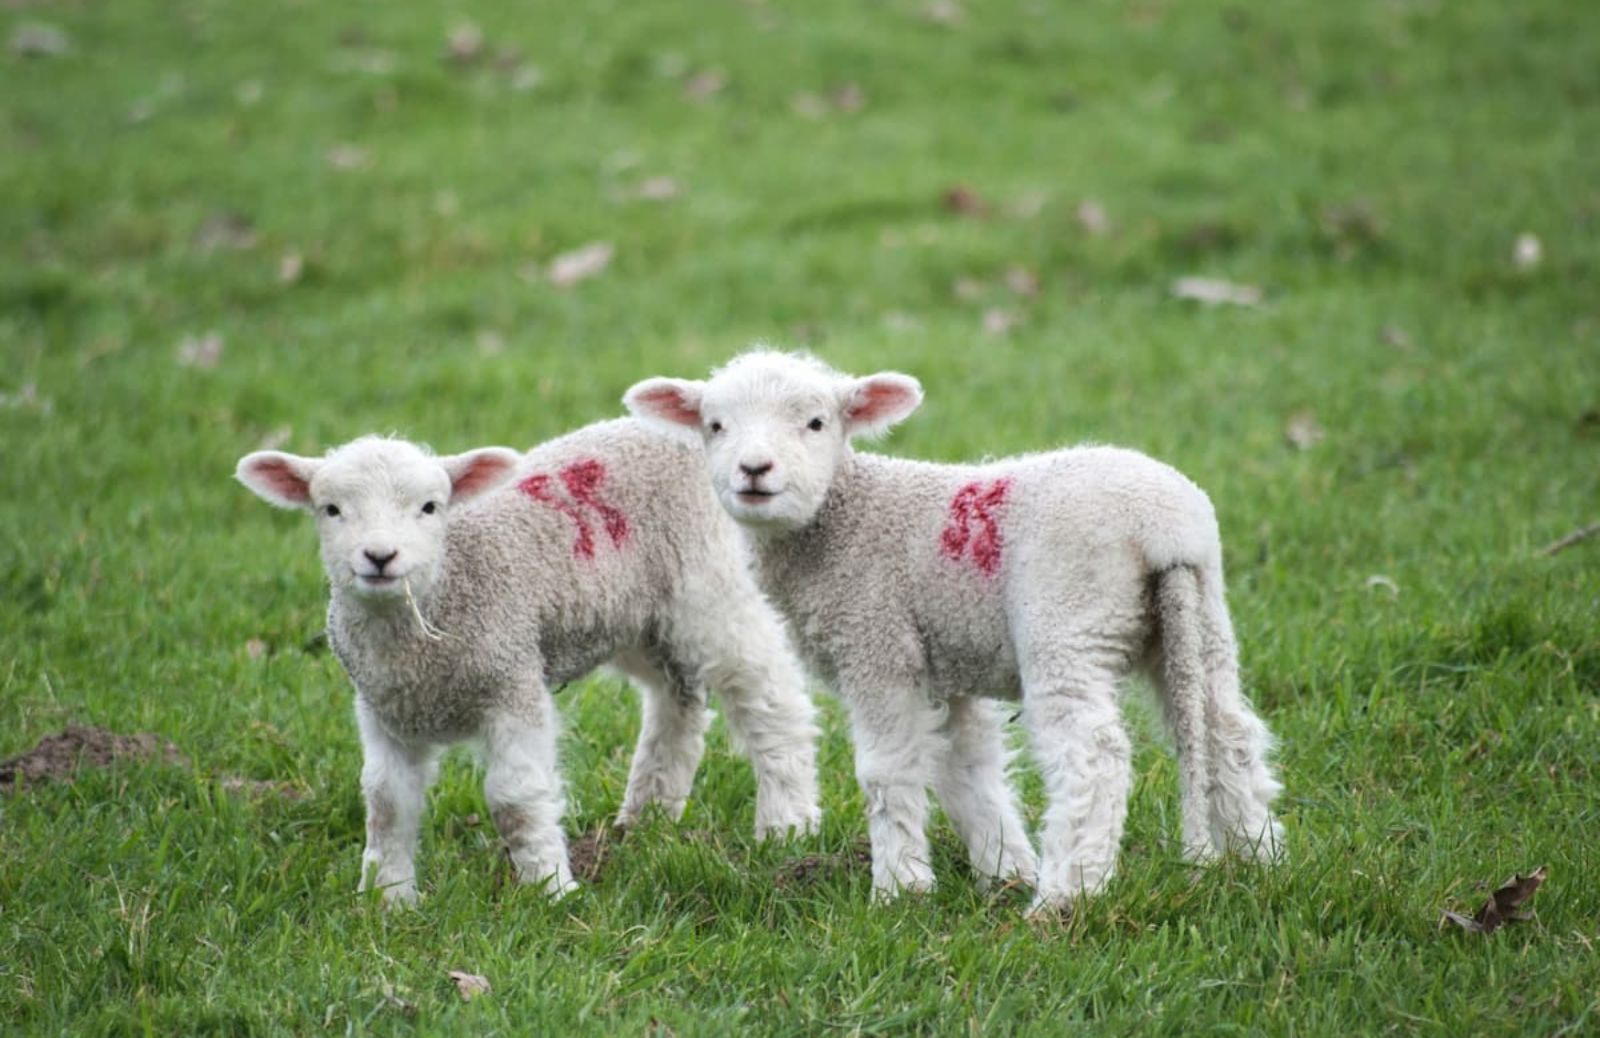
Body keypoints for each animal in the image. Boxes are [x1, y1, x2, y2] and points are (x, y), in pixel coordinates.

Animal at [236, 415, 825, 902]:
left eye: (430, 507)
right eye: (331, 510)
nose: (380, 557)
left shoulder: (511, 680)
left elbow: (515, 799)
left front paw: (551, 890)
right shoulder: (384, 711)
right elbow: (385, 803)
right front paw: (388, 901)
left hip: (713, 584)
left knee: (771, 700)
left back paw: (787, 824)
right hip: (636, 617)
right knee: (676, 700)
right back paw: (647, 818)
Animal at [624, 351, 1286, 908]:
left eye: (815, 423)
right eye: (714, 426)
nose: (754, 470)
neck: (843, 521)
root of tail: (1167, 529)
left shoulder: (878, 645)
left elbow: (887, 770)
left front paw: (901, 889)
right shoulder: (948, 666)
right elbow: (967, 771)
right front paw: (1003, 868)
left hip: (1068, 618)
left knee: (1093, 754)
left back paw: (1066, 897)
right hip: (1199, 620)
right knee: (1227, 730)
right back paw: (1262, 860)